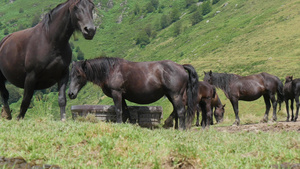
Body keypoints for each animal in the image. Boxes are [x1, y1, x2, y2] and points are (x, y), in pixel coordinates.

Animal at [67, 56, 199, 129]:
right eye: (70, 74)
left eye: (79, 75)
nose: (70, 94)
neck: (111, 70)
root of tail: (181, 66)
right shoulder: (122, 96)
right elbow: (126, 112)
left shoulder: (116, 93)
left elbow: (119, 110)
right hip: (171, 95)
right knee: (176, 110)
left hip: (175, 94)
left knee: (181, 111)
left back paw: (180, 128)